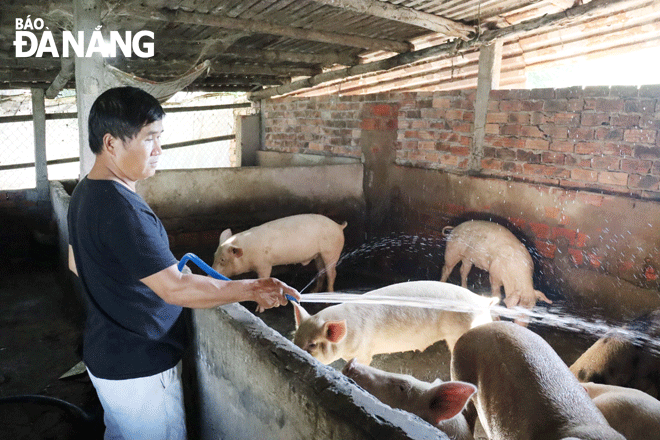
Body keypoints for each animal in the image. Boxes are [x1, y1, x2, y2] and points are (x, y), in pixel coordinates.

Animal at [213, 213, 348, 292]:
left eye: (223, 259)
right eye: (214, 255)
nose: (210, 275)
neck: (247, 252)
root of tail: (338, 226)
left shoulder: (264, 264)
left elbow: (264, 276)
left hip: (331, 251)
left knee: (332, 273)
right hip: (318, 254)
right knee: (321, 271)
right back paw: (313, 292)